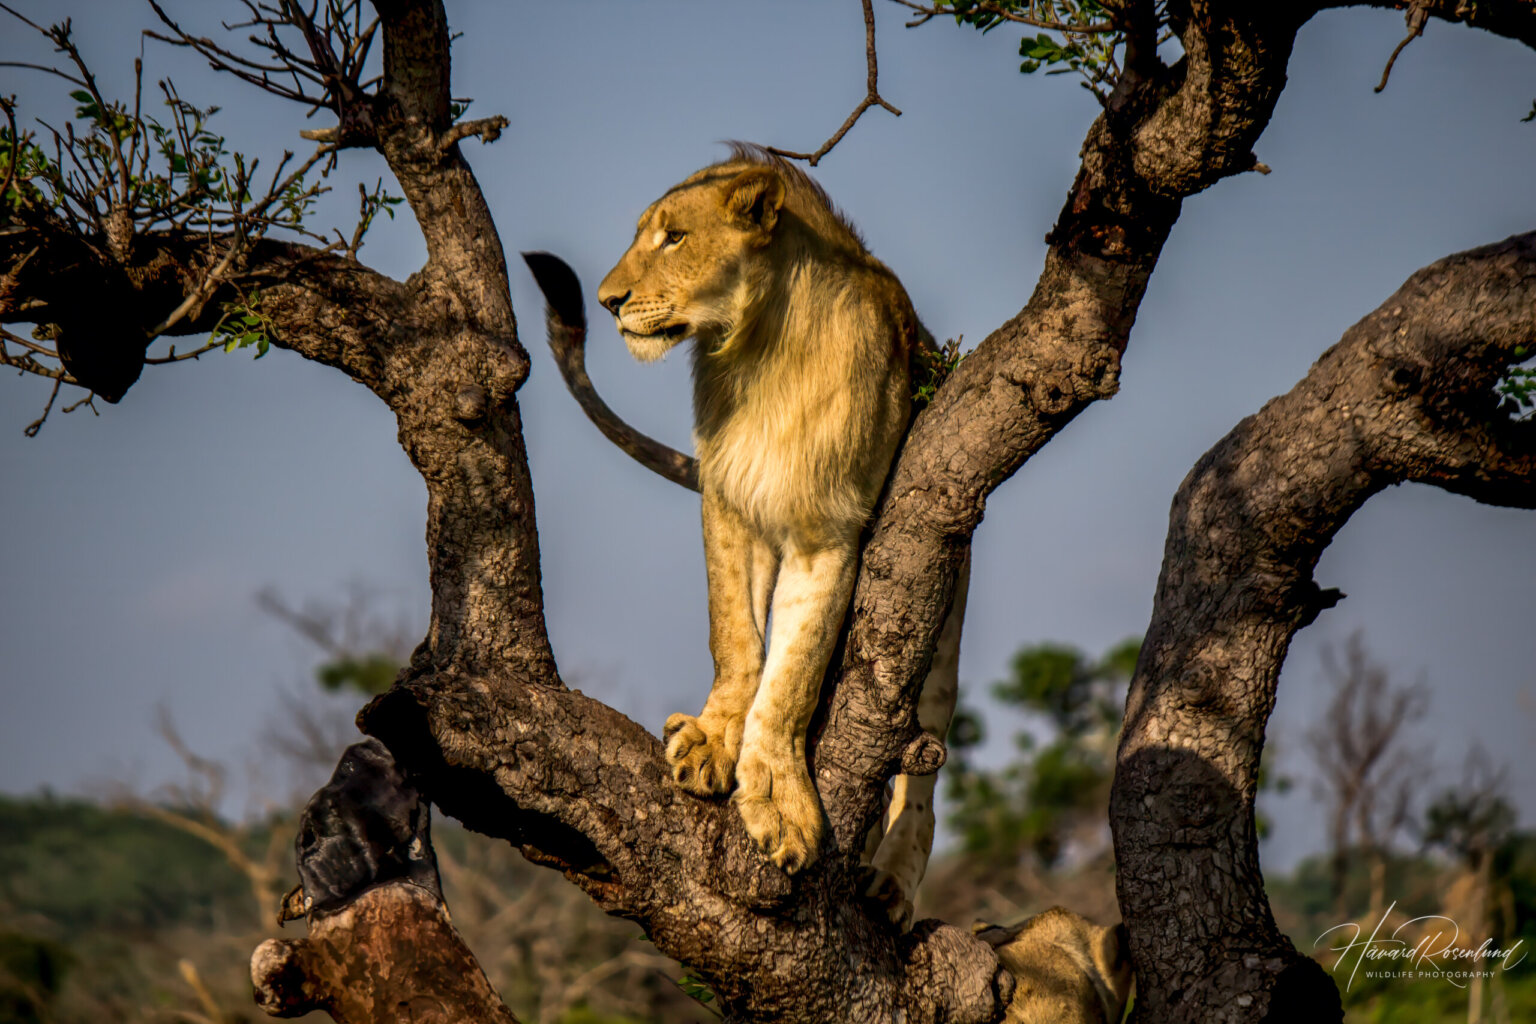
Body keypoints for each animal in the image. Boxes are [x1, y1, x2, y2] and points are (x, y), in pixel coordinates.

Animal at [595, 145, 961, 896]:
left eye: (674, 237)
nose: (605, 300)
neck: (760, 356)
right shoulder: (729, 501)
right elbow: (736, 636)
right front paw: (711, 739)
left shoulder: (831, 529)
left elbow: (792, 674)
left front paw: (777, 795)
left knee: (927, 772)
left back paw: (891, 883)